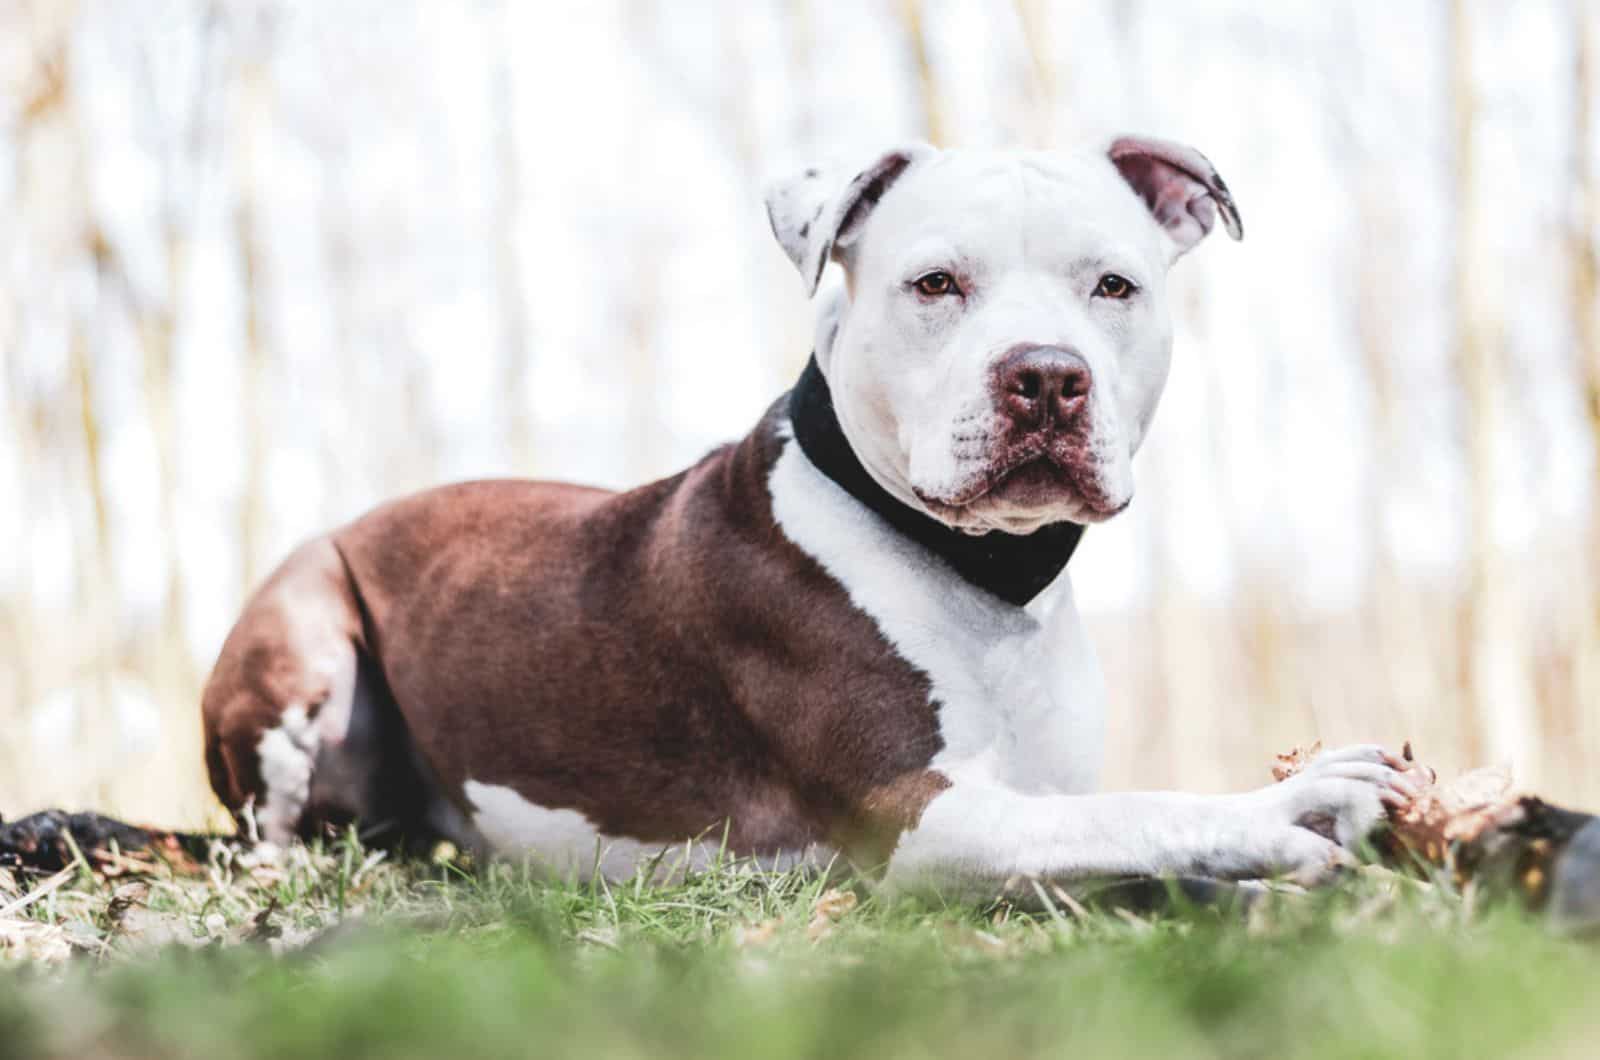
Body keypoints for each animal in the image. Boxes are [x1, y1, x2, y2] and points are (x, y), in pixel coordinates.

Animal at [203, 132, 1414, 896]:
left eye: (1113, 286)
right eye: (935, 284)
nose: (1045, 376)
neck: (989, 579)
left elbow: (1099, 809)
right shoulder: (917, 816)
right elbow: (1129, 809)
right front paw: (1290, 809)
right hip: (303, 631)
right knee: (259, 834)